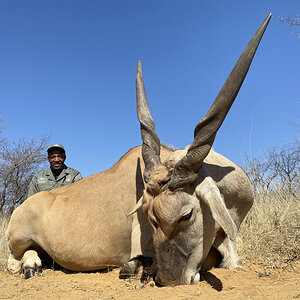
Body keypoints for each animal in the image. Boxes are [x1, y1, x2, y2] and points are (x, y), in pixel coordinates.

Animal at [6, 14, 270, 286]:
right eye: (150, 218)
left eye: (186, 215)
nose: (170, 279)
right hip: (17, 238)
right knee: (13, 260)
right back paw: (31, 265)